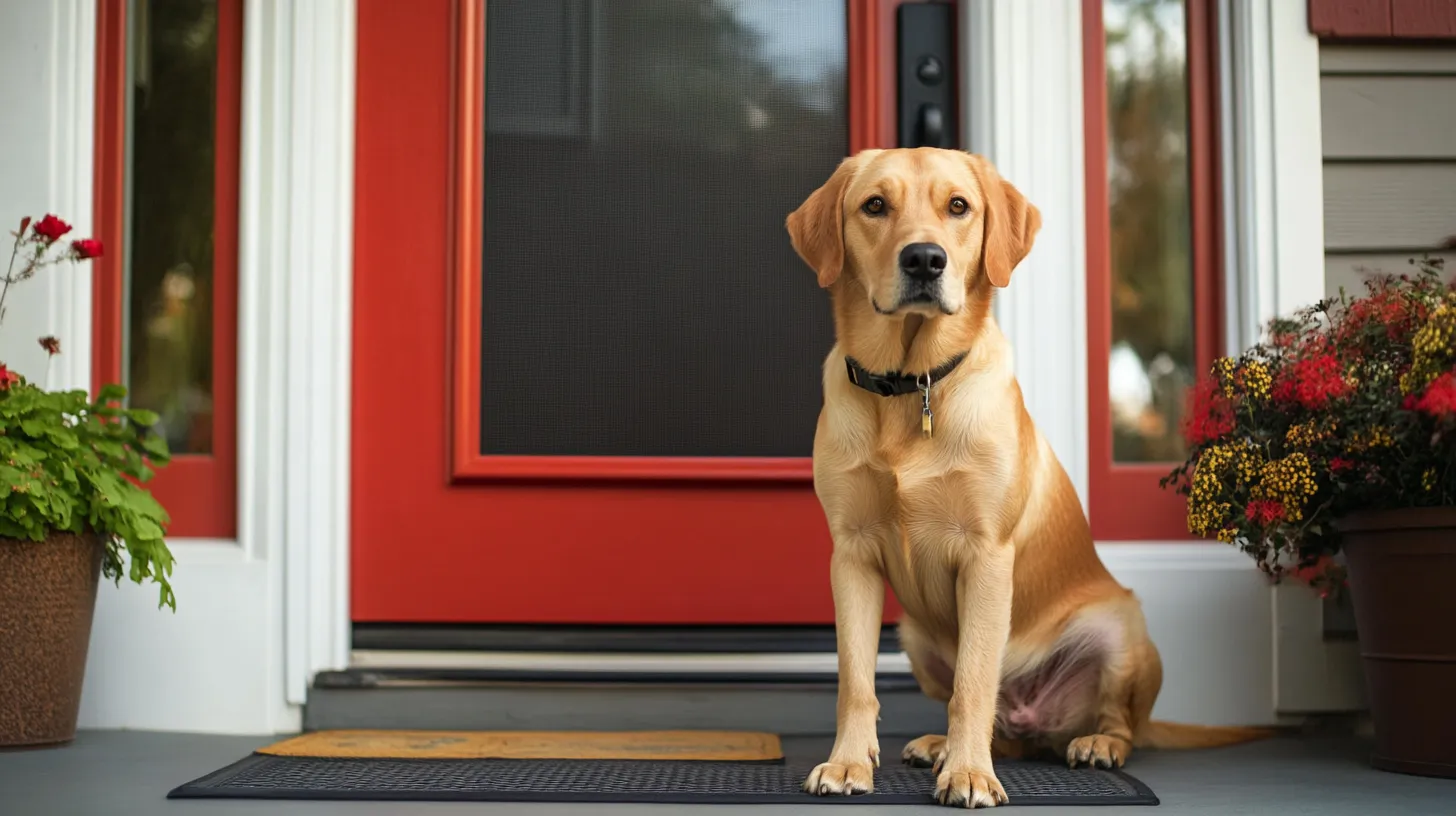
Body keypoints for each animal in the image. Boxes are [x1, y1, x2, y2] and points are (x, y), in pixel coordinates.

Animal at [786, 147, 1275, 810]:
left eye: (958, 206)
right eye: (875, 205)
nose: (924, 258)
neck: (915, 384)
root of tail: (1033, 717)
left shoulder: (988, 556)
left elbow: (974, 682)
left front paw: (969, 774)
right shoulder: (852, 555)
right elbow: (856, 681)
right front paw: (848, 764)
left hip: (1121, 627)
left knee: (1114, 722)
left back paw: (1092, 744)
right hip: (915, 636)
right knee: (1002, 726)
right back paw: (943, 745)